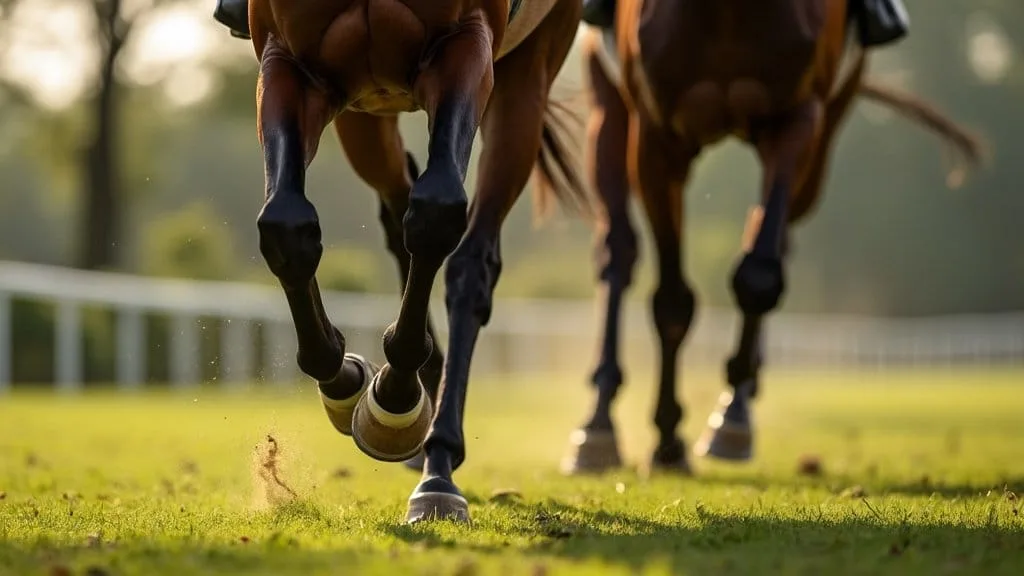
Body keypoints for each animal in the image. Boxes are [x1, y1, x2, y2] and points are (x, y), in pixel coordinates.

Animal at [246, 0, 590, 523]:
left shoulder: (464, 45)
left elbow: (437, 211)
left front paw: (396, 400)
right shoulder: (289, 63)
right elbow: (287, 227)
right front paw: (347, 383)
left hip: (526, 79)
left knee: (470, 259)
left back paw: (438, 464)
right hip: (367, 111)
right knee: (396, 201)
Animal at [560, 0, 983, 476]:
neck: (727, 10)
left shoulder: (798, 118)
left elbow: (758, 274)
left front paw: (730, 421)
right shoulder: (656, 138)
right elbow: (672, 301)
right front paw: (668, 439)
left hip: (827, 130)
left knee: (771, 235)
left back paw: (740, 395)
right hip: (606, 102)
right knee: (618, 251)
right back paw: (598, 425)